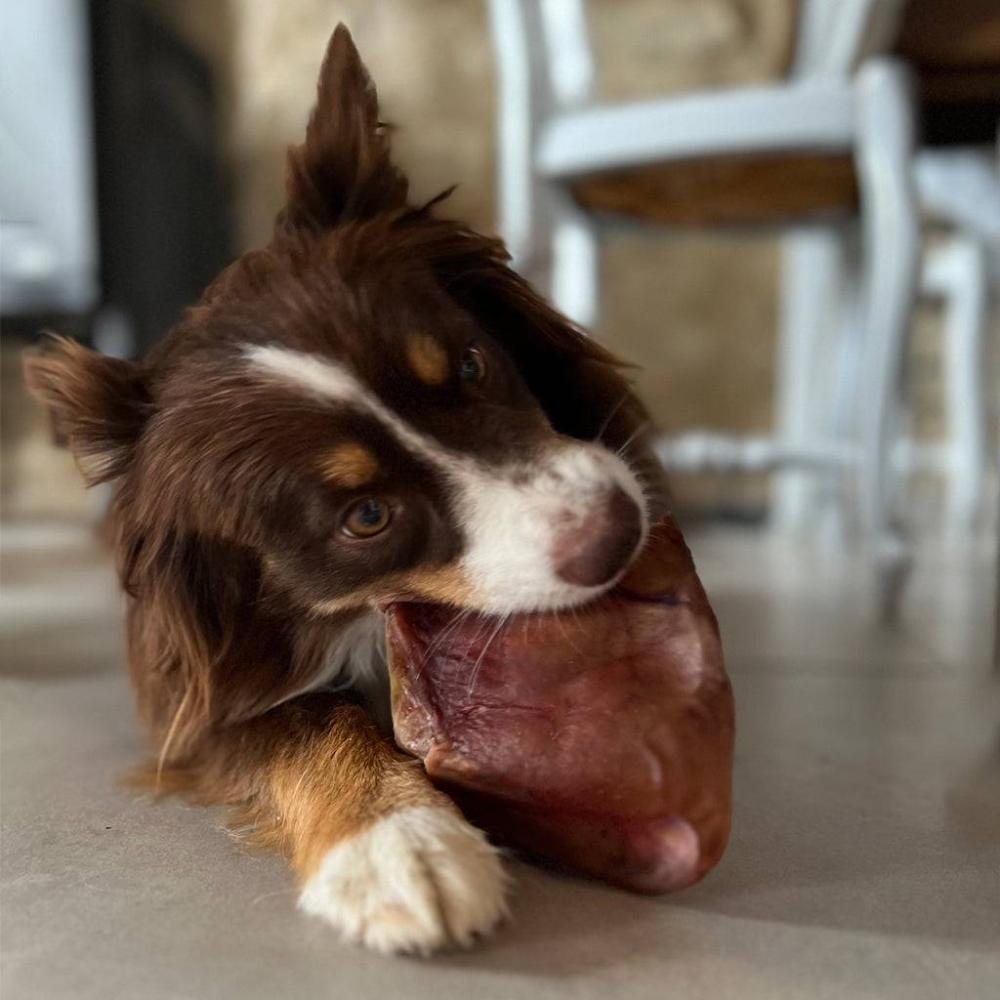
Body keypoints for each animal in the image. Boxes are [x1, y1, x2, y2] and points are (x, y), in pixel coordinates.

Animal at [25, 23, 664, 952]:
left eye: (471, 366)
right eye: (365, 517)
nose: (616, 533)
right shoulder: (198, 699)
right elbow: (307, 722)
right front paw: (400, 847)